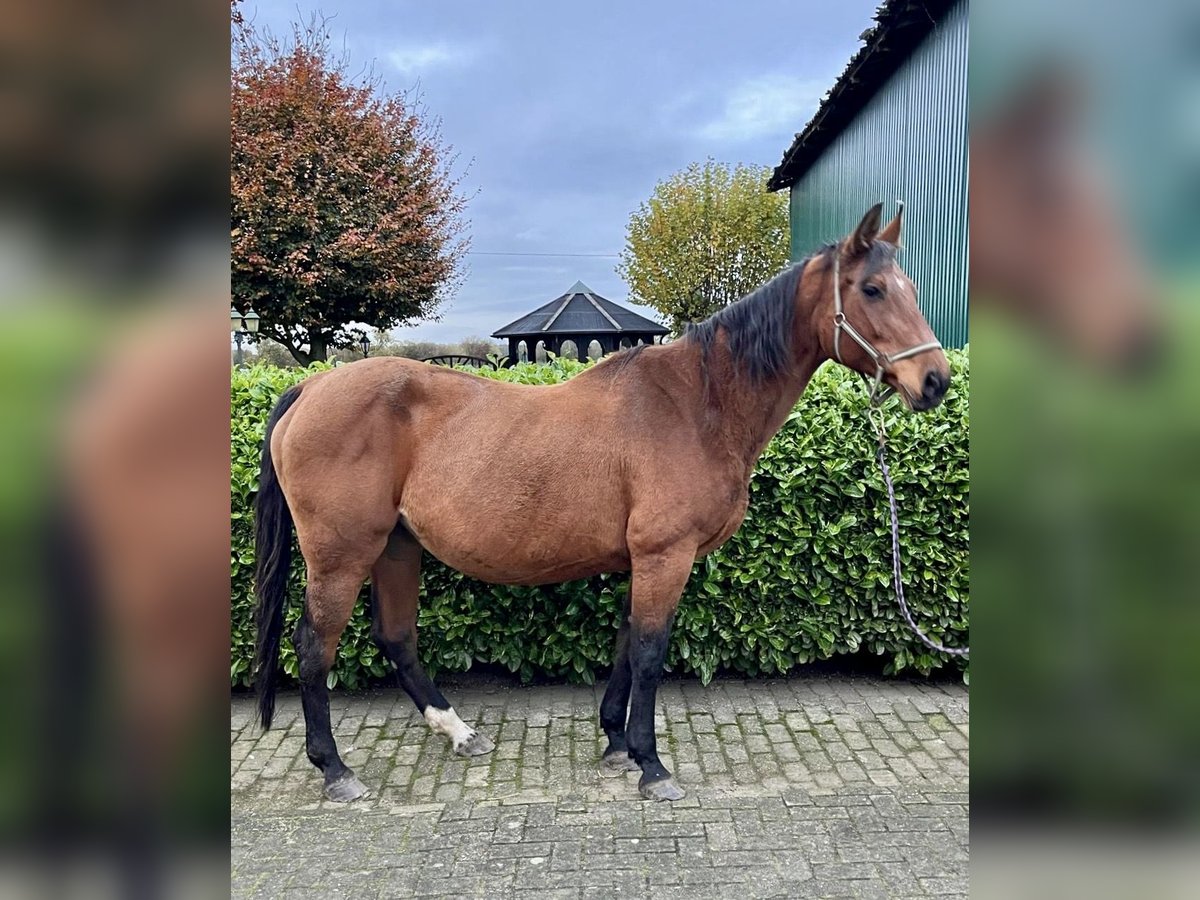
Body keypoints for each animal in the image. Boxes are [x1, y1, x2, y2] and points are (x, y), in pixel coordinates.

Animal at [252, 203, 951, 803]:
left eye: (910, 287)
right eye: (872, 290)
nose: (935, 381)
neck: (697, 403)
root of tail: (311, 387)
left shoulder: (644, 559)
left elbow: (625, 643)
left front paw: (616, 742)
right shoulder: (666, 555)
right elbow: (650, 651)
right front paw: (651, 763)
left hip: (396, 546)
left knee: (396, 638)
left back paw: (458, 733)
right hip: (343, 555)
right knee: (313, 646)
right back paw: (335, 768)